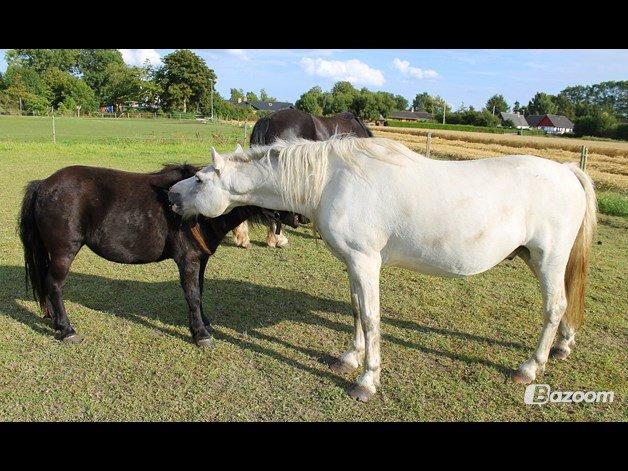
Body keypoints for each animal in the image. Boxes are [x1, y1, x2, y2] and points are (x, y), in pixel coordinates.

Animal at [19, 165, 294, 346]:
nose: (296, 218)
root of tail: (43, 185)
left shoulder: (200, 259)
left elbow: (200, 291)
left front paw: (203, 323)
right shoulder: (188, 260)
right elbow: (192, 295)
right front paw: (200, 334)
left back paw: (53, 319)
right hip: (64, 251)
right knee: (54, 285)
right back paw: (66, 329)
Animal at [169, 136, 596, 402]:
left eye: (201, 179)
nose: (171, 195)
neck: (332, 181)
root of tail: (566, 171)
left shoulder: (365, 261)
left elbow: (372, 317)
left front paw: (366, 381)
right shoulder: (353, 264)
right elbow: (358, 311)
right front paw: (348, 358)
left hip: (548, 259)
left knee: (555, 306)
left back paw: (530, 367)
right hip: (536, 258)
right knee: (565, 305)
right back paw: (562, 346)